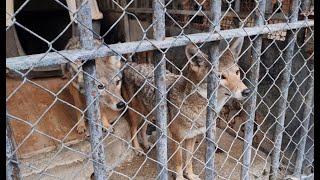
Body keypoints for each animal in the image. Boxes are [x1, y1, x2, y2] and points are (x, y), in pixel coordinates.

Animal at [122, 37, 250, 179]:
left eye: (237, 72)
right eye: (220, 76)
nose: (246, 91)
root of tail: (131, 64)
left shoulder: (192, 137)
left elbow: (189, 159)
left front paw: (190, 175)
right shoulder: (176, 139)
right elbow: (179, 161)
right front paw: (180, 177)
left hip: (150, 113)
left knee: (143, 128)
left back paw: (145, 144)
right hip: (136, 113)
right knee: (133, 129)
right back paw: (138, 149)